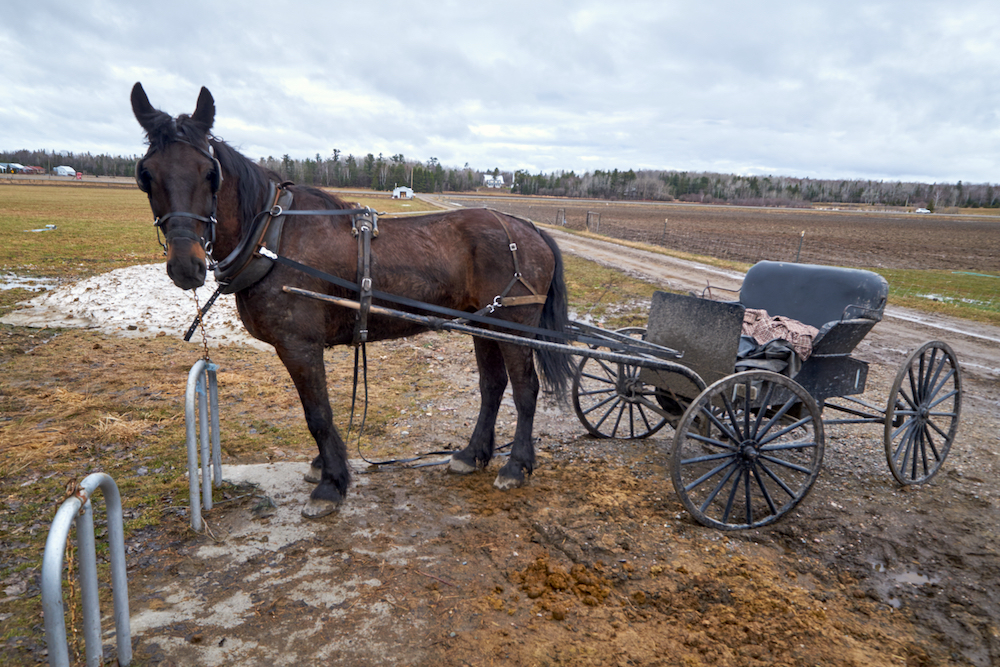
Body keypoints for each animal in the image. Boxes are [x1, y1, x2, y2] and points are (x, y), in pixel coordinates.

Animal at [130, 83, 573, 518]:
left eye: (210, 174)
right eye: (146, 176)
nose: (186, 266)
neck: (271, 238)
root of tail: (529, 228)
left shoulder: (299, 345)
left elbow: (318, 414)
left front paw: (331, 483)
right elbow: (319, 413)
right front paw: (325, 467)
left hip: (514, 325)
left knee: (525, 389)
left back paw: (516, 465)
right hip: (485, 323)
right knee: (492, 386)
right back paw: (472, 453)